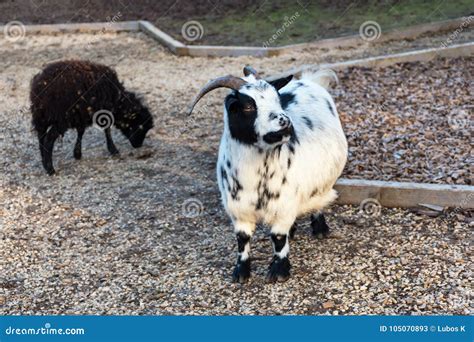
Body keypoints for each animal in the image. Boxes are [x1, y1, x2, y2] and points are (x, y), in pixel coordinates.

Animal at [189, 67, 348, 284]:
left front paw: (279, 271)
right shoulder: (238, 209)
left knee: (318, 200)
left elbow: (278, 238)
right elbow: (242, 239)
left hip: (322, 182)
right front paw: (241, 273)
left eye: (278, 99)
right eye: (248, 106)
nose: (285, 122)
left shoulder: (283, 206)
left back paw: (320, 229)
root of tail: (309, 81)